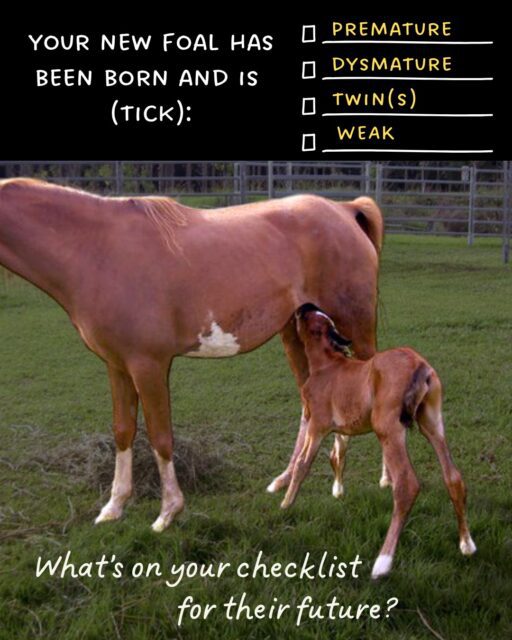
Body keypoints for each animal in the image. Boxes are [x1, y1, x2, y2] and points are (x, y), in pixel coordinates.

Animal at [0, 178, 383, 531]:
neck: (98, 248)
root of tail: (345, 210)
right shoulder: (117, 366)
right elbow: (123, 431)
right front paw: (114, 507)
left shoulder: (149, 366)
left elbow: (160, 435)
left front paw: (168, 512)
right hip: (297, 334)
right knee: (310, 405)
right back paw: (293, 480)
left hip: (356, 328)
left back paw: (383, 480)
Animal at [277, 304, 476, 578]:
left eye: (310, 317)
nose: (303, 306)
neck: (327, 365)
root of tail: (419, 365)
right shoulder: (341, 428)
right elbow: (338, 454)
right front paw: (337, 490)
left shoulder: (316, 426)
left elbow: (302, 464)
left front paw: (285, 504)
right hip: (432, 425)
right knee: (453, 477)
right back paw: (466, 544)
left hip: (388, 429)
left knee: (407, 485)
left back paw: (382, 562)